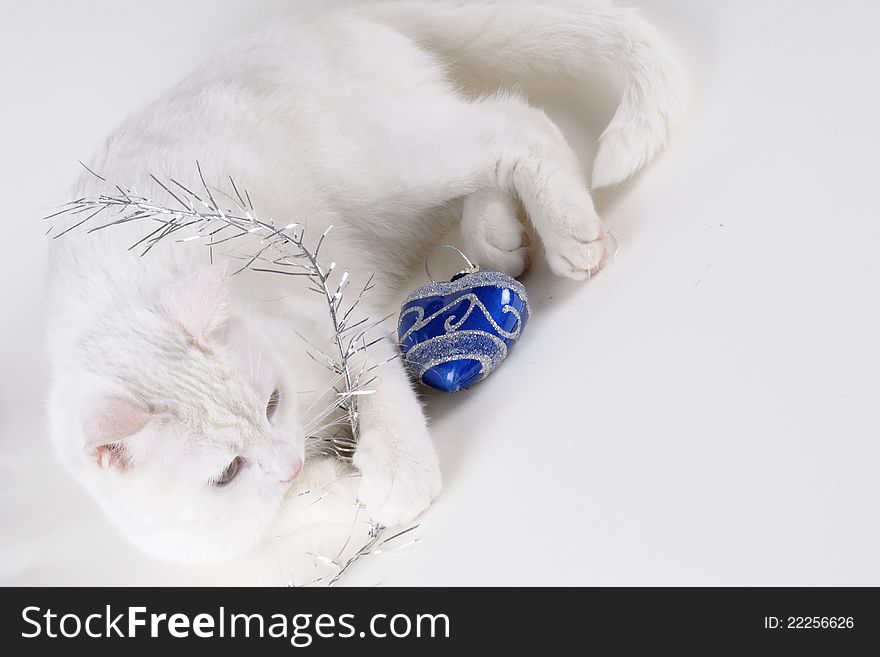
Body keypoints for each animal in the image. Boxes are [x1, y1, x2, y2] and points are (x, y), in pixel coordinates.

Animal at [44, 1, 684, 564]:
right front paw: (338, 484)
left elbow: (374, 374)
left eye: (272, 402)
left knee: (513, 121)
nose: (288, 461)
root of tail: (325, 14)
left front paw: (396, 471)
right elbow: (284, 513)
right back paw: (496, 236)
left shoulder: (330, 301)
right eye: (225, 473)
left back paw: (570, 233)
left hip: (386, 169)